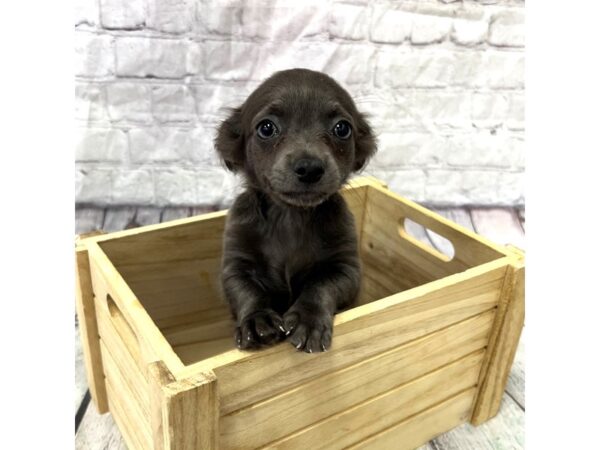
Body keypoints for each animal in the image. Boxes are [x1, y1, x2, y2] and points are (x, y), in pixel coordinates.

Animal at [214, 68, 376, 354]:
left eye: (342, 129)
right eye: (266, 128)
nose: (309, 168)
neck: (291, 216)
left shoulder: (346, 269)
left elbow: (320, 285)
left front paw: (308, 319)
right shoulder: (235, 266)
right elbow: (248, 291)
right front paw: (256, 320)